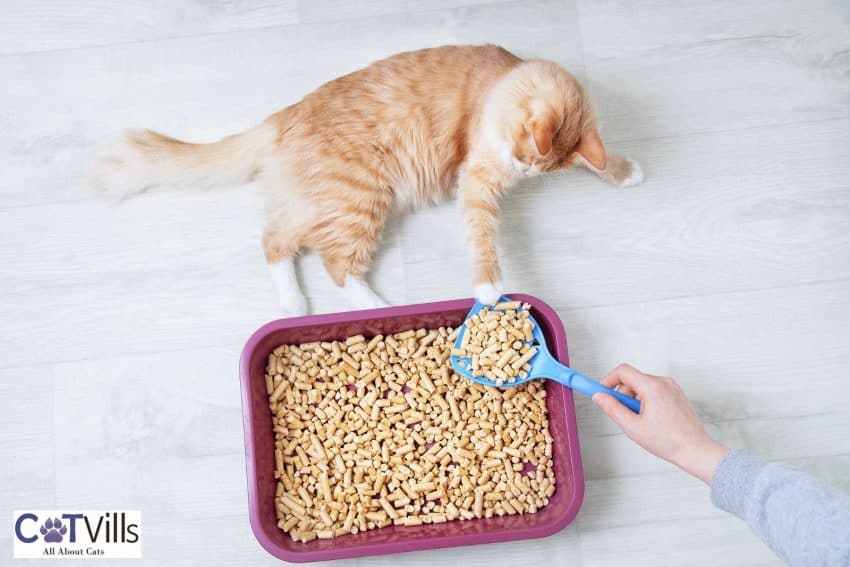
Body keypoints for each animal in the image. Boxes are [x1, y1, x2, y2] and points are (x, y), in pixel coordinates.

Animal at [91, 45, 636, 318]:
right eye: (522, 152)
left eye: (532, 165)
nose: (520, 169)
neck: (504, 82)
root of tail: (284, 115)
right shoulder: (478, 180)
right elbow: (483, 237)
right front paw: (488, 288)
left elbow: (601, 160)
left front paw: (630, 171)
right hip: (362, 199)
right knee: (336, 268)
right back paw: (377, 308)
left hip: (319, 204)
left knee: (275, 242)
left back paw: (294, 305)